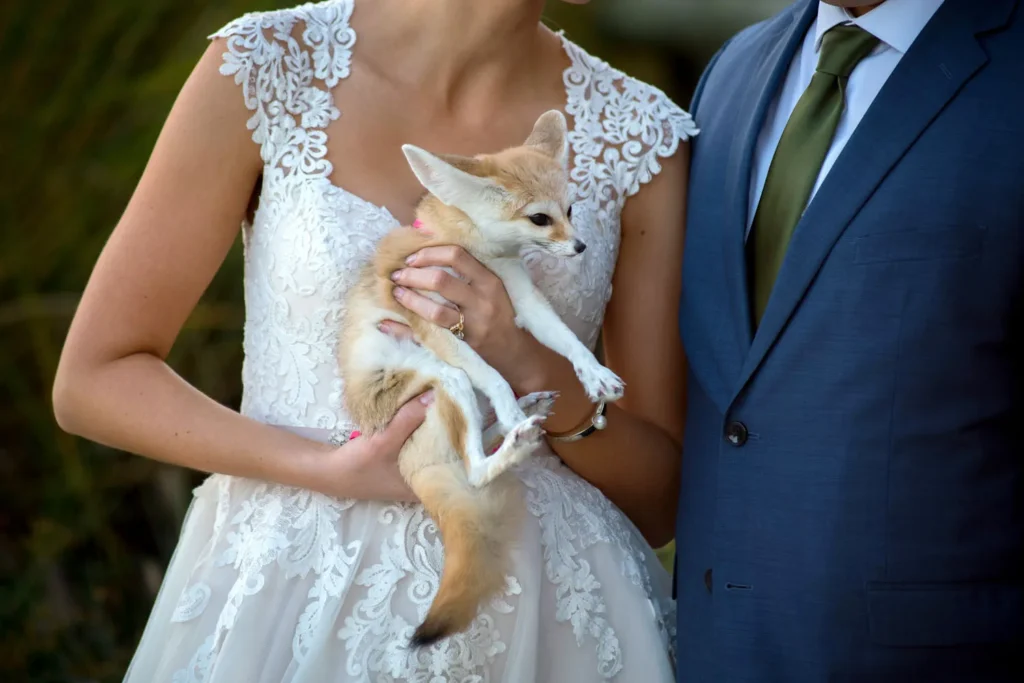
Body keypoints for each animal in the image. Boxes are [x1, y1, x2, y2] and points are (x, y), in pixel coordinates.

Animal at [339, 111, 618, 647]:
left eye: (570, 209)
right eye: (540, 218)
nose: (580, 246)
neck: (479, 251)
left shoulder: (522, 302)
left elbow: (567, 342)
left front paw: (595, 375)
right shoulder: (434, 324)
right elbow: (492, 374)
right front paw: (509, 405)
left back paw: (525, 419)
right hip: (441, 376)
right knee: (471, 468)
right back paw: (512, 432)